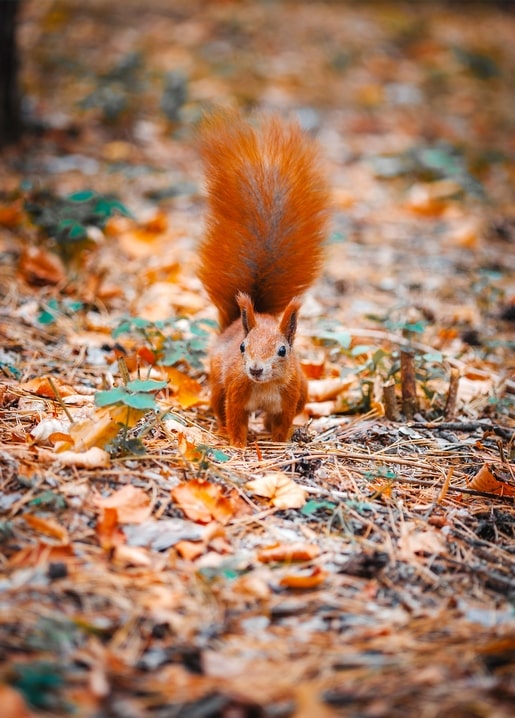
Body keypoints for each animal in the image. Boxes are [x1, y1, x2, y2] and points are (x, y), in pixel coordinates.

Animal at [198, 111, 329, 447]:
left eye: (282, 350)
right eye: (243, 347)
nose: (256, 370)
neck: (264, 386)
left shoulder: (289, 398)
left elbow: (282, 424)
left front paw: (279, 444)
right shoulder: (235, 392)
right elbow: (234, 419)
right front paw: (237, 445)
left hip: (304, 389)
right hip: (218, 382)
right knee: (217, 405)